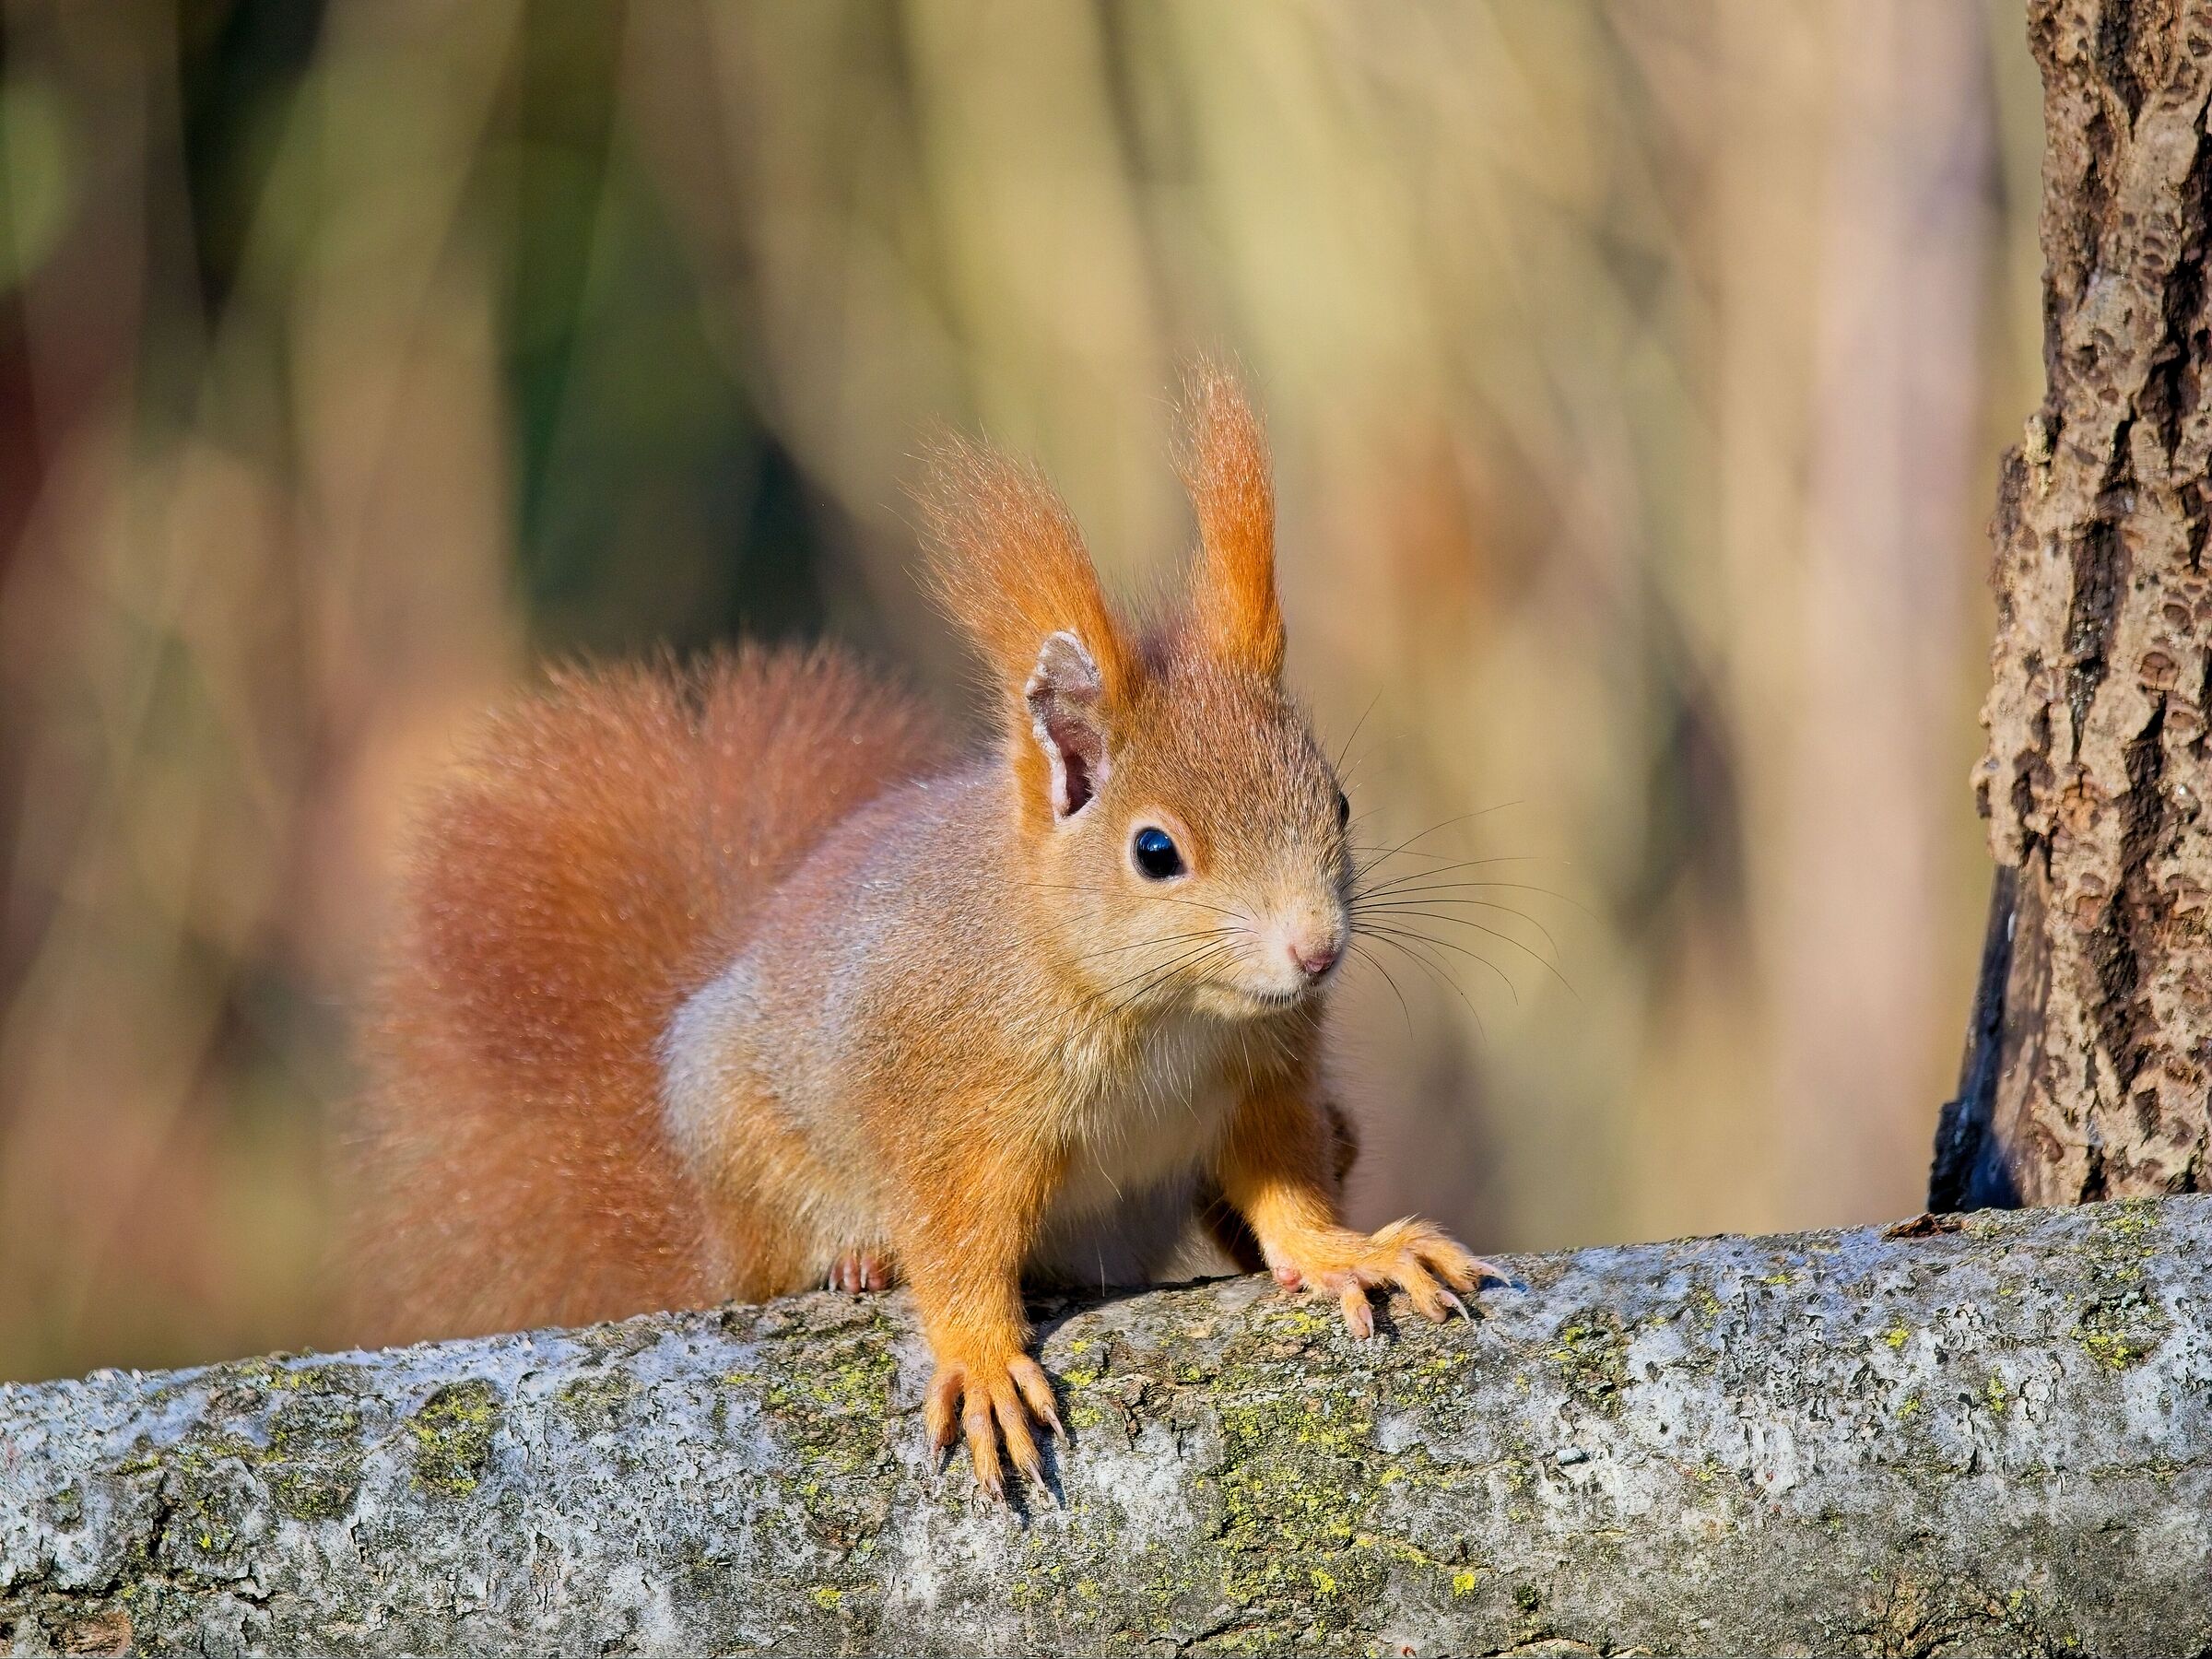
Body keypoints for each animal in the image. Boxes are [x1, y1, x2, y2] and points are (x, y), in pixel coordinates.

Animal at [348, 365, 1499, 1497]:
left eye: (1338, 802)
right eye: (1155, 851)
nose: (1316, 951)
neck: (1160, 1014)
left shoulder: (1264, 1079)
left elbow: (1286, 1184)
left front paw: (1348, 1250)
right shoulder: (950, 1105)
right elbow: (955, 1247)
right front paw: (983, 1359)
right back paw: (855, 1259)